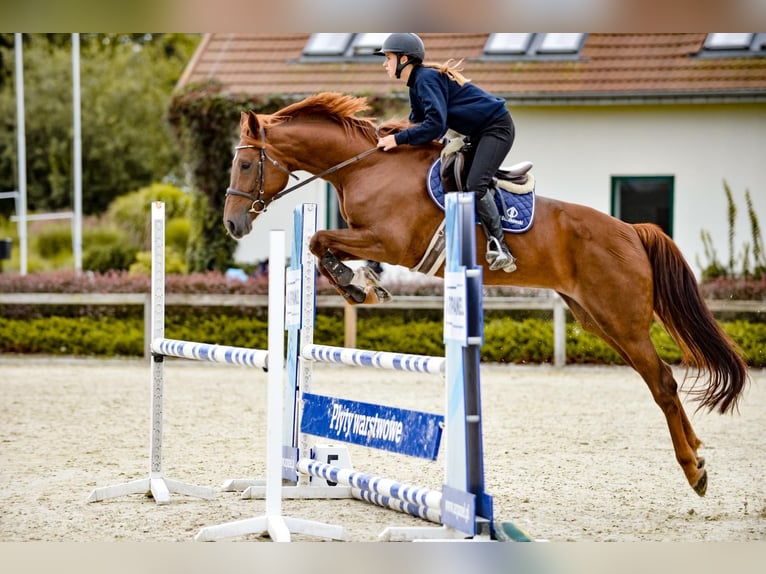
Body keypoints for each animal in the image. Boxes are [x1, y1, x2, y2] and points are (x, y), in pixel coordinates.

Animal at [224, 91, 752, 500]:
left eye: (246, 163)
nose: (233, 225)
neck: (366, 166)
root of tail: (631, 231)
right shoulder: (370, 239)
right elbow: (323, 248)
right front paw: (362, 284)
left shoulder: (389, 240)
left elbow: (319, 242)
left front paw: (356, 285)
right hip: (599, 321)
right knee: (659, 380)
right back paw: (698, 454)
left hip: (621, 318)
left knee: (662, 381)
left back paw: (694, 471)